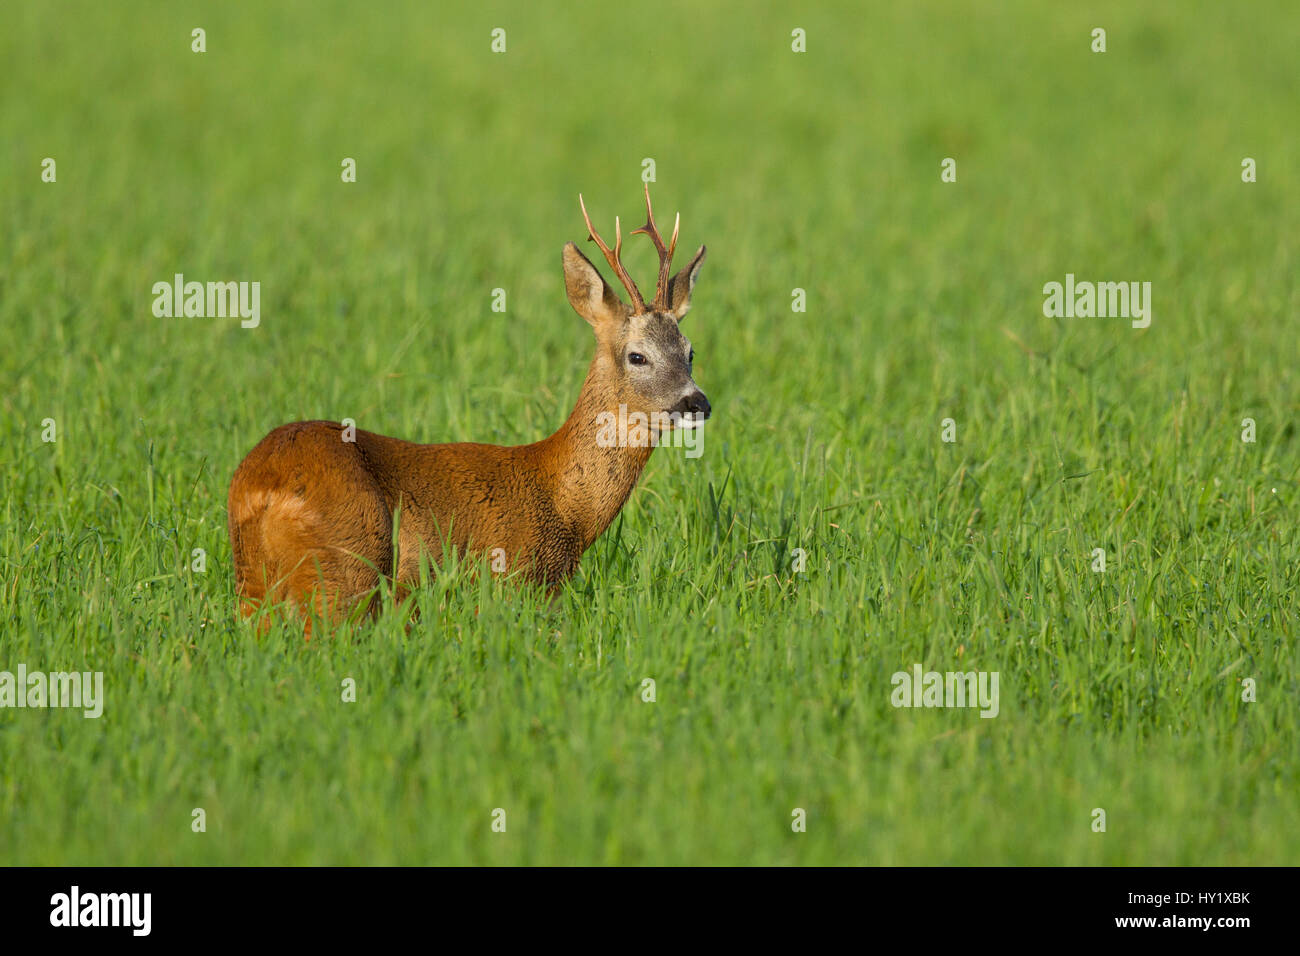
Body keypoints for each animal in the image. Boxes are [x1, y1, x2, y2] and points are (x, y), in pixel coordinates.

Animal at [226, 184, 712, 634]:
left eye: (690, 352)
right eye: (637, 356)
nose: (697, 403)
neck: (564, 504)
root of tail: (260, 489)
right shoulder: (515, 580)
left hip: (256, 589)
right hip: (348, 567)